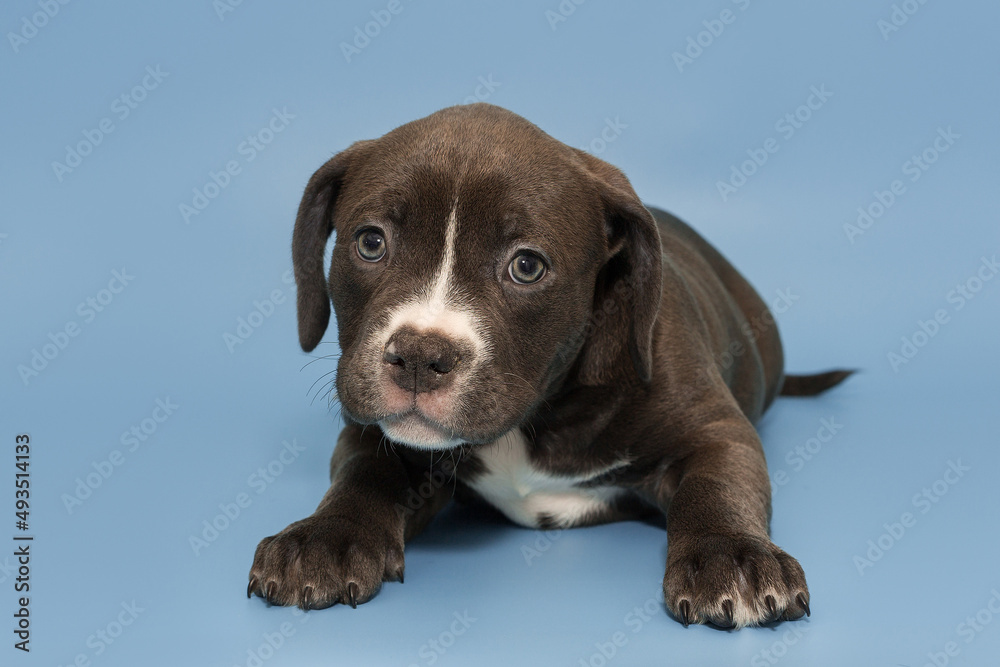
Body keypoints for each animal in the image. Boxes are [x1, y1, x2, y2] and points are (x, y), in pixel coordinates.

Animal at [250, 103, 852, 628]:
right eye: (371, 242)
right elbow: (363, 473)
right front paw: (326, 537)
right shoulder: (369, 431)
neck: (532, 418)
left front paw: (734, 558)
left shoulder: (716, 427)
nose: (420, 356)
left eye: (527, 266)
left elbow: (717, 484)